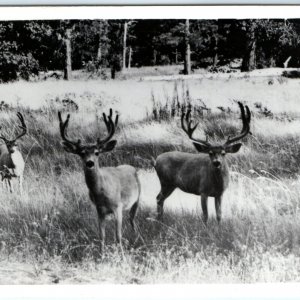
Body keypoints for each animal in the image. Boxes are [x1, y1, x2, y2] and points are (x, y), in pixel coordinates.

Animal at [59, 109, 142, 250]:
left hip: (137, 198)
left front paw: (120, 253)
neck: (101, 191)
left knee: (132, 219)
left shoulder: (117, 206)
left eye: (97, 152)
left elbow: (118, 236)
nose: (90, 163)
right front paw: (102, 253)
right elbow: (101, 236)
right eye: (81, 153)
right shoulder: (99, 210)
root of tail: (130, 167)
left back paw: (136, 237)